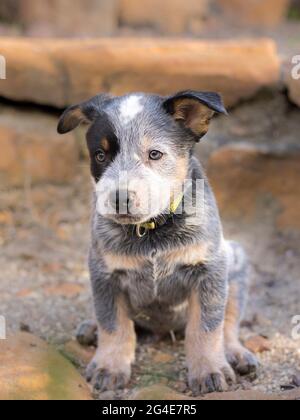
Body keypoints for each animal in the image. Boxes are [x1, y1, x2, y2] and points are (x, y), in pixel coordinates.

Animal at [58, 90, 258, 396]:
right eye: (100, 155)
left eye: (155, 154)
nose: (119, 198)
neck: (151, 232)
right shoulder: (104, 273)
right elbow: (113, 323)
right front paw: (109, 367)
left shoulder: (209, 270)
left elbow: (207, 327)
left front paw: (209, 371)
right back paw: (90, 328)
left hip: (236, 263)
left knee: (229, 324)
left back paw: (238, 355)